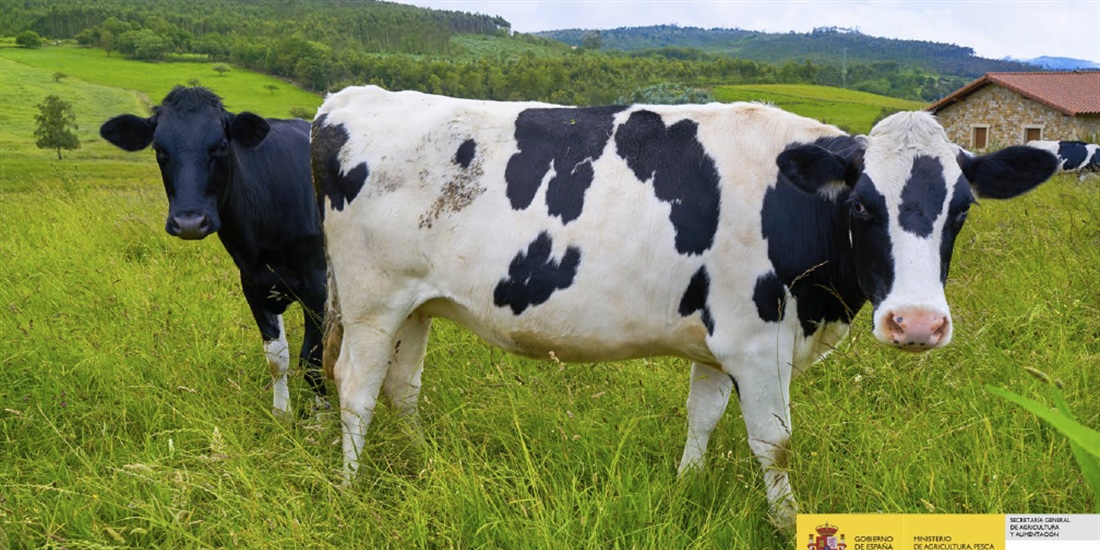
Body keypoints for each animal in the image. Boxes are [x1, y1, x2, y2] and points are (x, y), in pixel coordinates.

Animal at [100, 86, 328, 416]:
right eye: (159, 149)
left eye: (221, 146)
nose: (189, 222)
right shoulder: (254, 283)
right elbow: (277, 358)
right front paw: (281, 415)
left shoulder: (318, 286)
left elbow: (312, 359)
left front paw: (321, 418)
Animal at [310, 86, 1058, 529]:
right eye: (862, 207)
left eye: (961, 211)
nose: (917, 324)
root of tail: (352, 98)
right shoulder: (760, 344)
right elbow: (775, 441)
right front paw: (786, 524)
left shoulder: (721, 340)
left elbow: (702, 417)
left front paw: (684, 489)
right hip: (372, 301)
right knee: (356, 390)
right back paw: (348, 491)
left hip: (417, 304)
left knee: (402, 389)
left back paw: (426, 463)